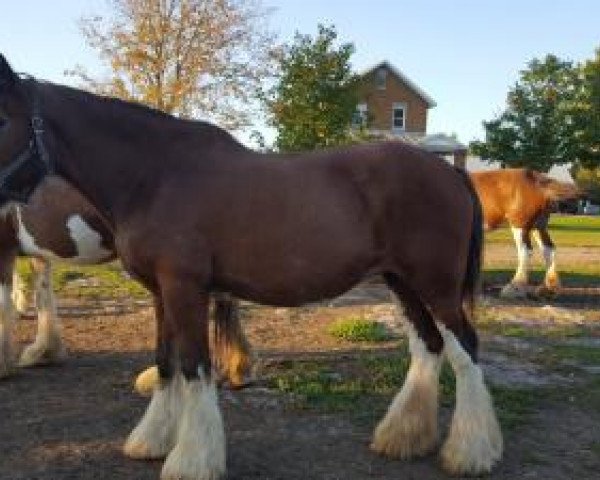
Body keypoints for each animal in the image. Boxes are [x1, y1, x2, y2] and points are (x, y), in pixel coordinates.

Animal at [472, 168, 580, 296]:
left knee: (525, 251)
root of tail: (536, 179)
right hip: (539, 226)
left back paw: (515, 286)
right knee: (548, 248)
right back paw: (549, 288)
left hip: (520, 224)